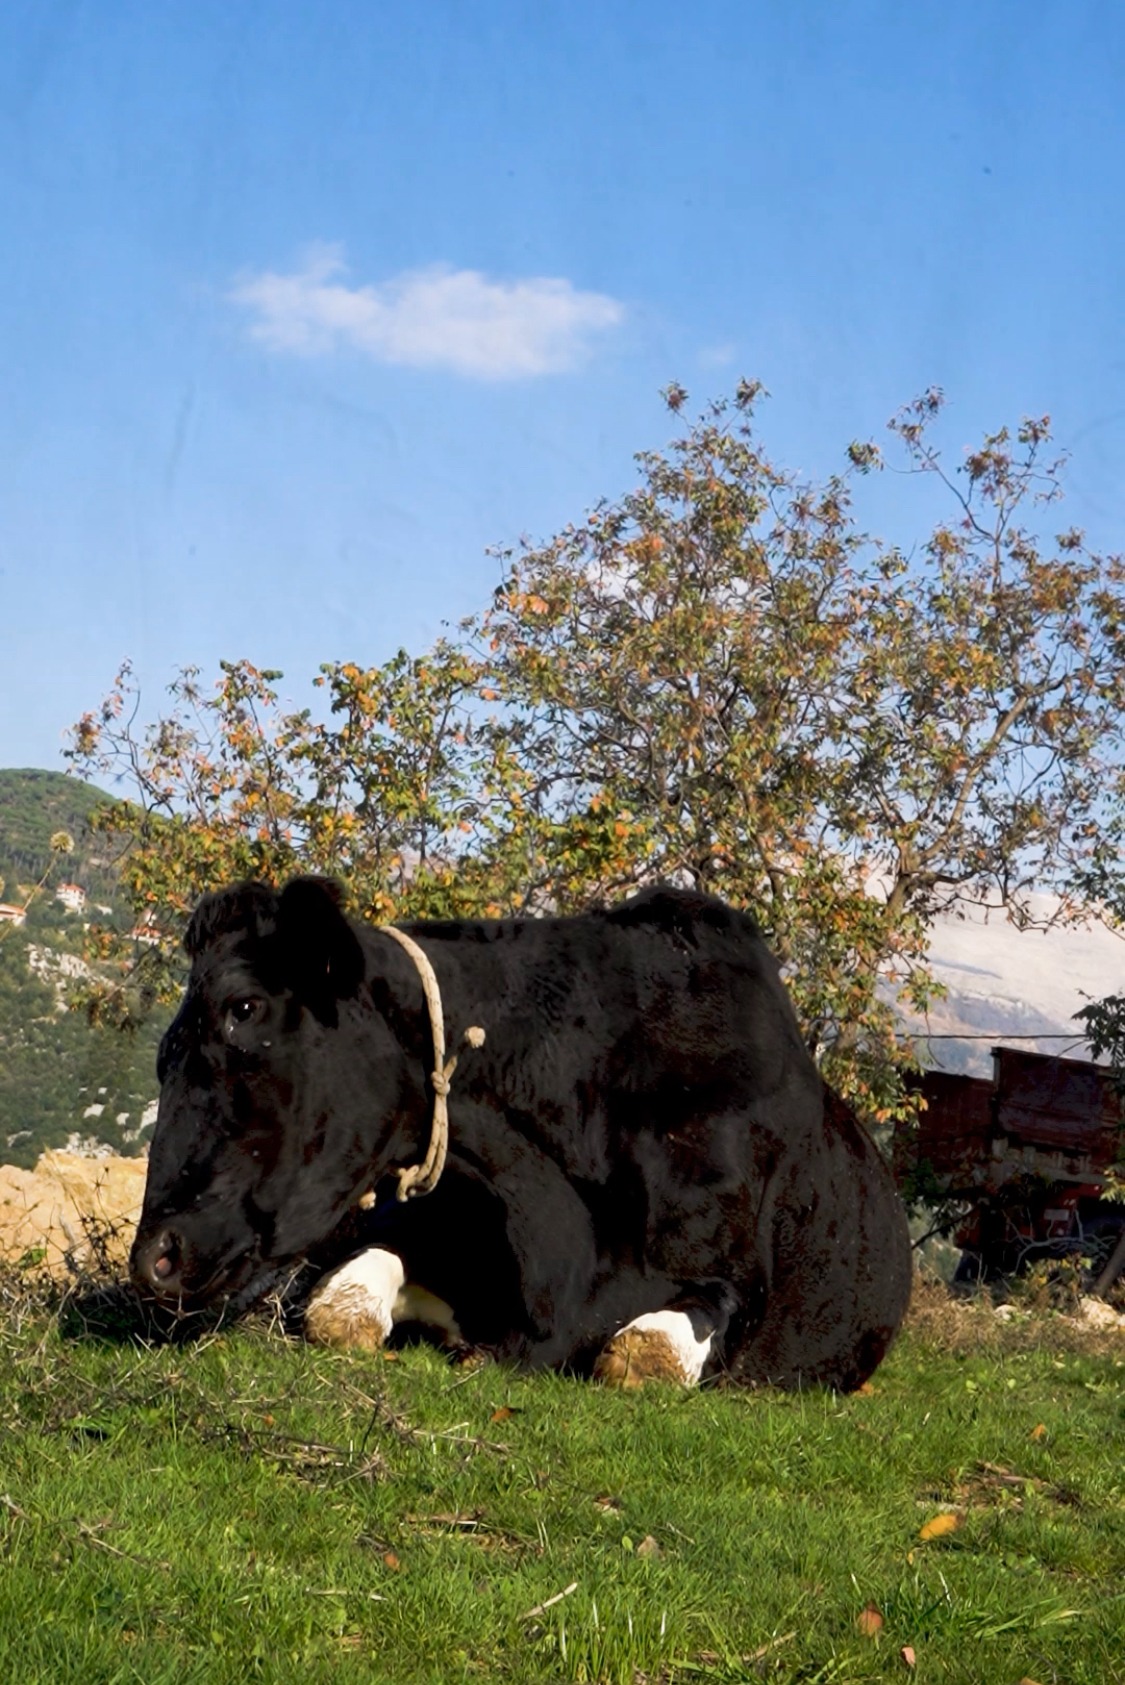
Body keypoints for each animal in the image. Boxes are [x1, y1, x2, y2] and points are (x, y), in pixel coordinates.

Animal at [130, 877, 912, 1390]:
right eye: (163, 1051)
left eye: (244, 1007)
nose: (154, 1258)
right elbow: (336, 1311)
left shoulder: (737, 1278)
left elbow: (642, 1358)